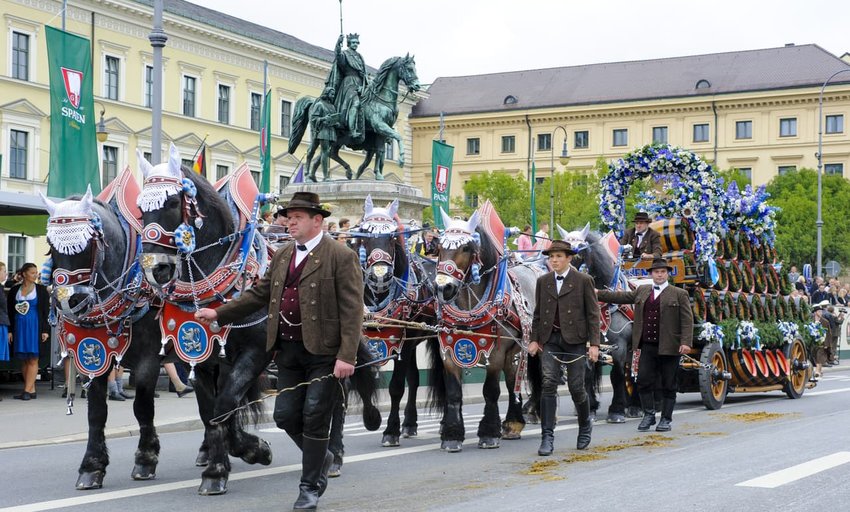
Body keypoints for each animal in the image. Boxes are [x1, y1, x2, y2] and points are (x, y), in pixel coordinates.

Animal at [39, 178, 164, 490]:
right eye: (50, 245)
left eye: (89, 244)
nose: (69, 302)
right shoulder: (93, 355)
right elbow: (96, 412)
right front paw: (92, 466)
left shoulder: (149, 360)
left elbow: (143, 406)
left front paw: (146, 458)